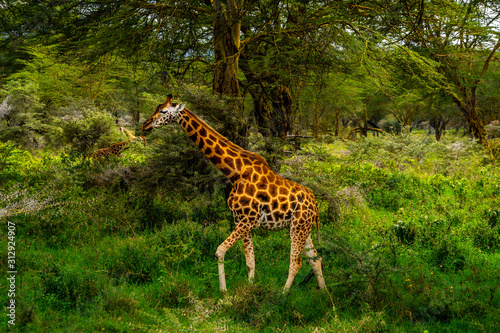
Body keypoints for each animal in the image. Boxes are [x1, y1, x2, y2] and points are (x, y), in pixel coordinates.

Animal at [143, 93, 326, 290]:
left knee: (296, 262)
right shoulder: (240, 219)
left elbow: (220, 251)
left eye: (163, 111)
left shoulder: (250, 219)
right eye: (156, 107)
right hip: (302, 227)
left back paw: (283, 294)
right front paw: (249, 289)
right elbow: (250, 262)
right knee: (315, 259)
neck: (234, 172)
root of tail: (316, 205)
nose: (145, 125)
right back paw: (324, 293)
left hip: (298, 227)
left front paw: (224, 291)